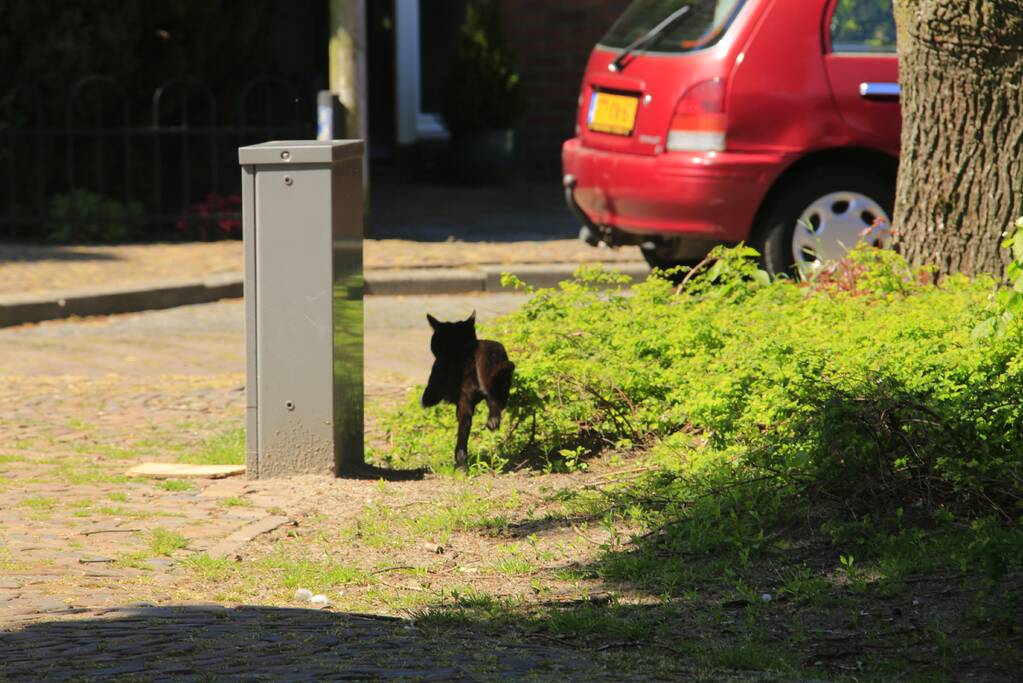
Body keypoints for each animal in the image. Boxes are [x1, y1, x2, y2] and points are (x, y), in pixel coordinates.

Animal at [421, 310, 515, 466]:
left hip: (465, 396)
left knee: (464, 425)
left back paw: (460, 460)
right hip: (501, 384)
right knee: (493, 401)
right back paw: (493, 422)